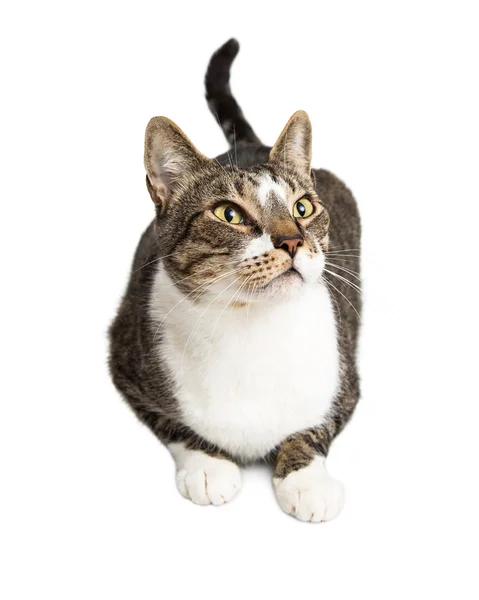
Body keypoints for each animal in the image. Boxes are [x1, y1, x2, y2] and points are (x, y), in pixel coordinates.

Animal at [109, 39, 362, 524]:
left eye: (302, 208)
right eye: (229, 214)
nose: (292, 241)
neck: (252, 325)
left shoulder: (347, 382)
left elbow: (315, 426)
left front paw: (306, 480)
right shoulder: (125, 362)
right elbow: (174, 424)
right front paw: (208, 465)